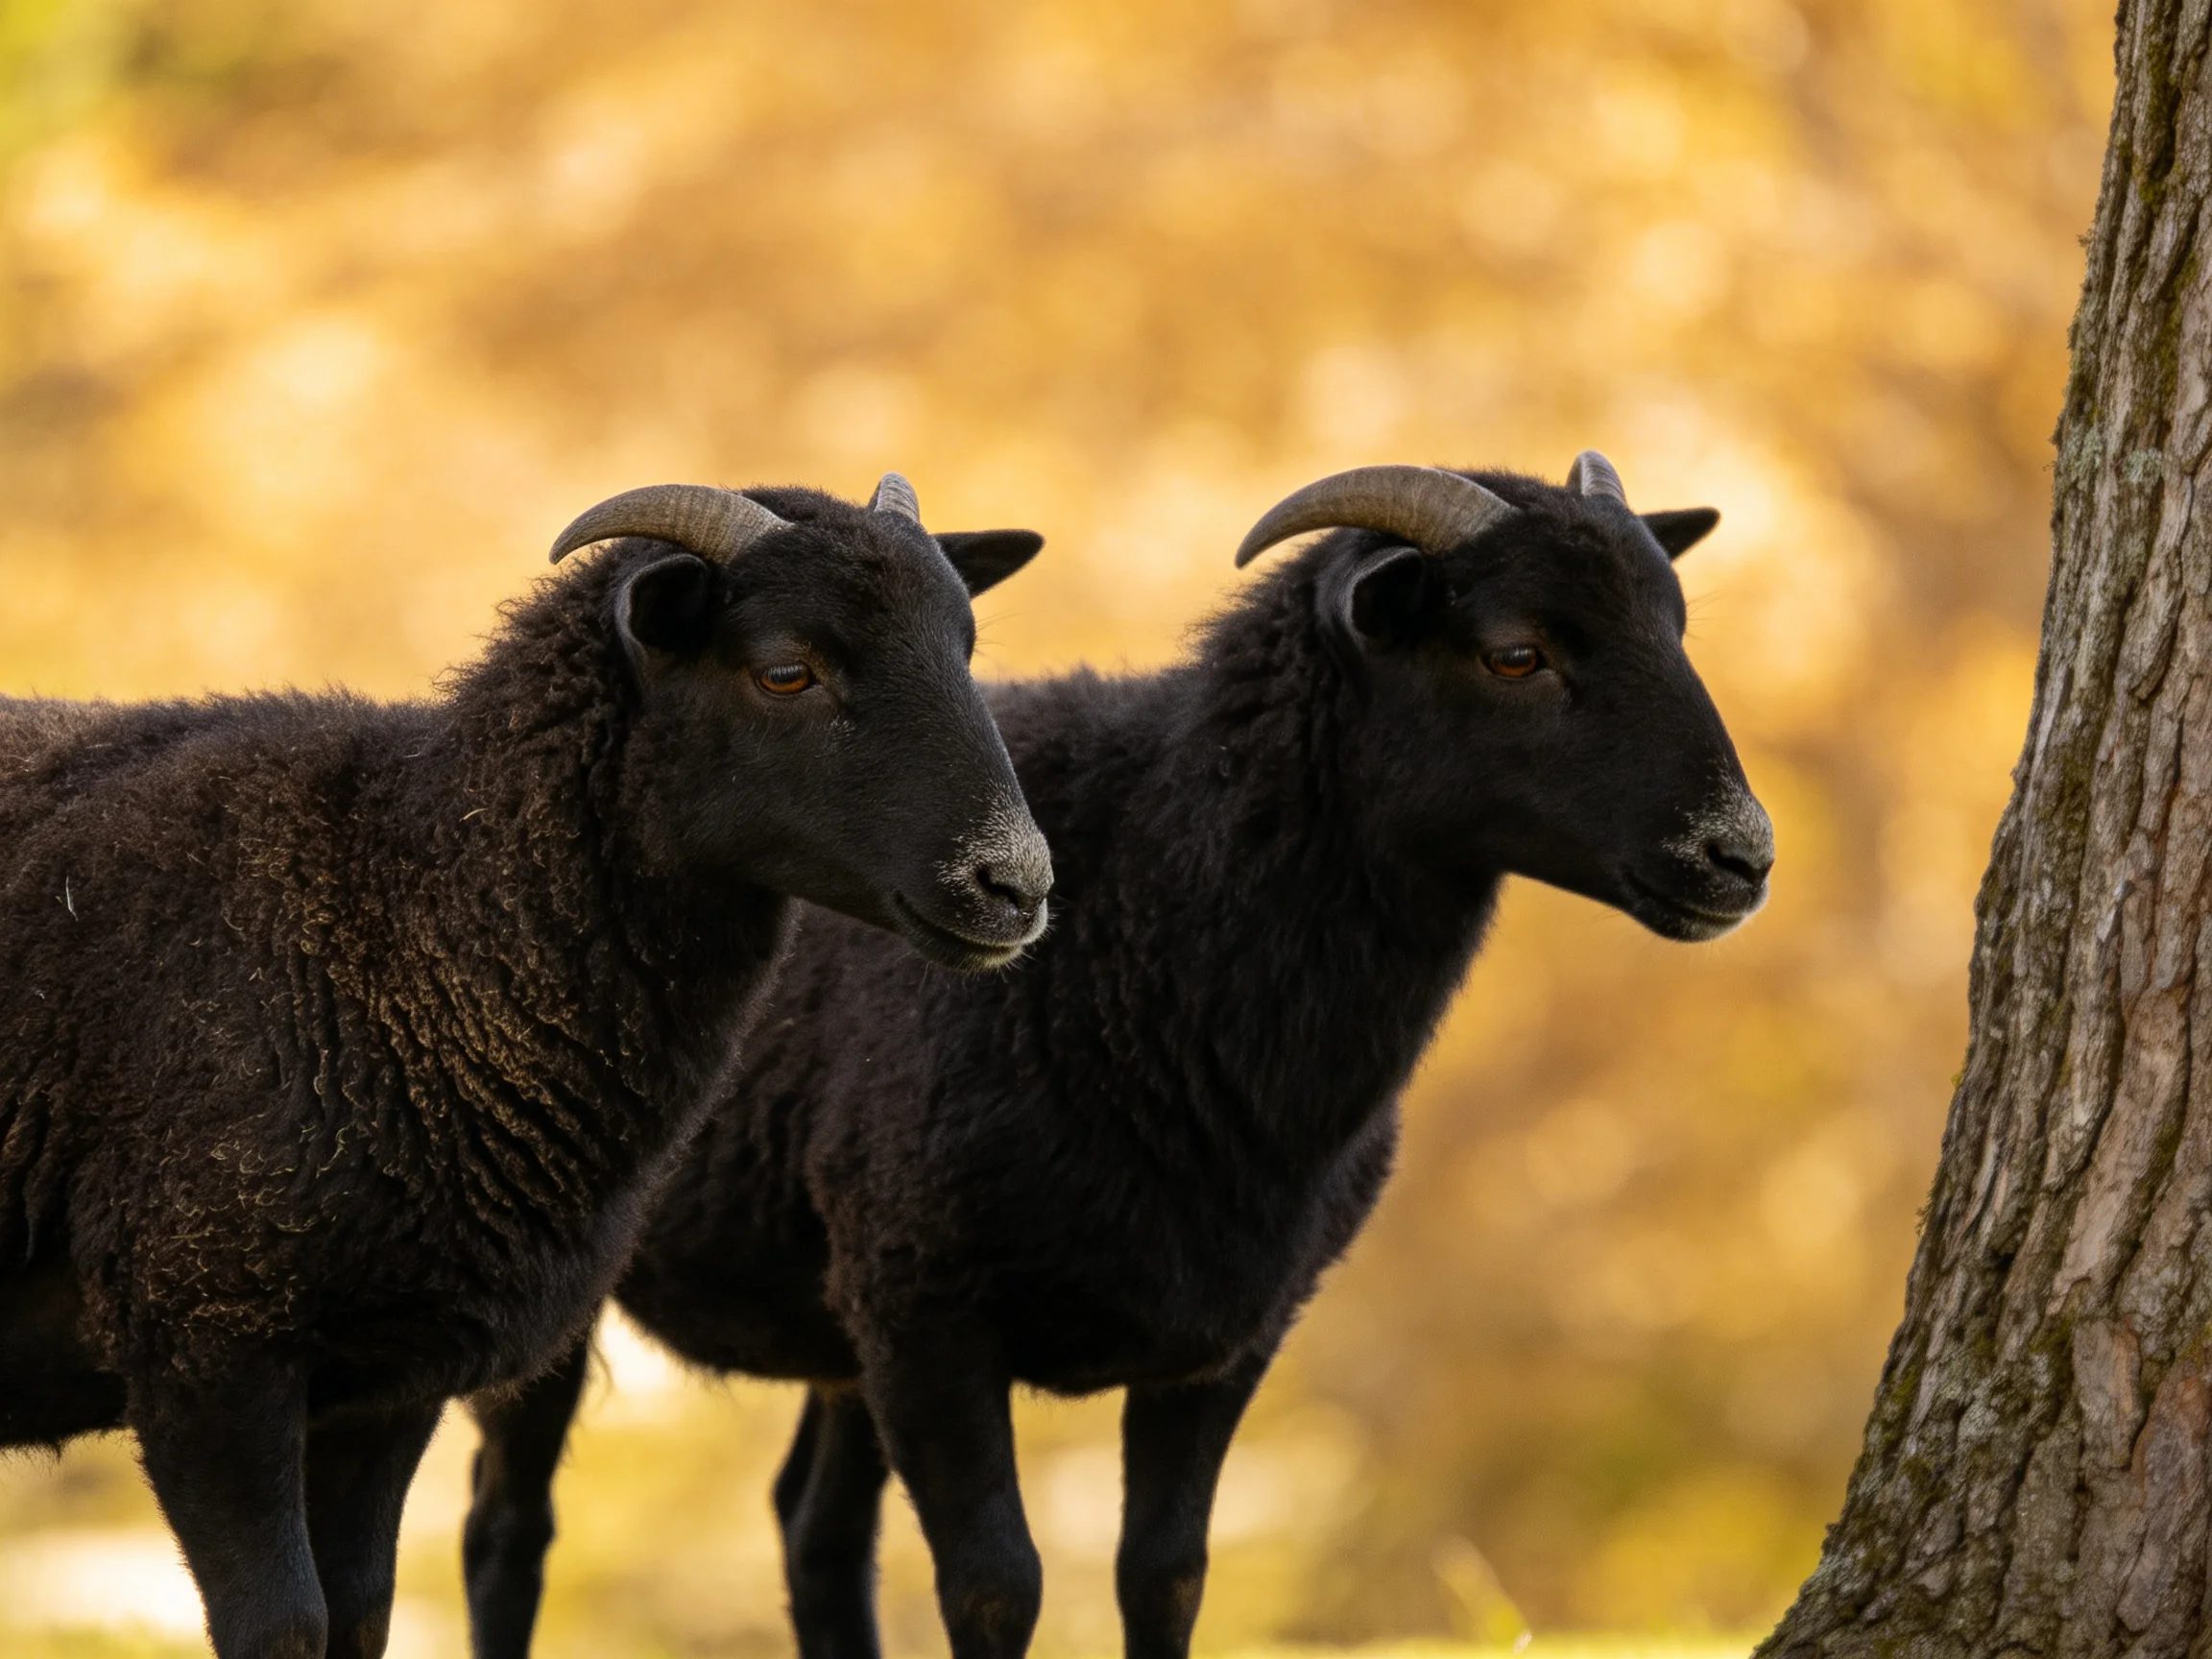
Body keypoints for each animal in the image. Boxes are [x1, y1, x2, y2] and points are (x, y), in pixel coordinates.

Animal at [0, 473, 1054, 1659]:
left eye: (965, 645)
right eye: (787, 669)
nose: (1015, 886)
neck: (399, 920)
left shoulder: (387, 1375)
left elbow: (358, 1614)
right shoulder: (206, 1342)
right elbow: (283, 1627)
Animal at [459, 454, 1775, 1659]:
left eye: (1676, 625)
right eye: (1515, 654)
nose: (1742, 858)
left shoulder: (1229, 1331)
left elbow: (1167, 1577)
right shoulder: (930, 1309)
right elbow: (999, 1587)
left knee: (814, 1529)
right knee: (508, 1527)